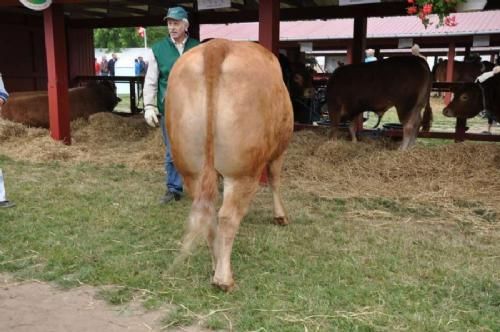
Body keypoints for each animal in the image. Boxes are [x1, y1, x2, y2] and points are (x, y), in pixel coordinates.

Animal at [166, 38, 294, 290]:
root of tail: (216, 46)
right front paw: (280, 216)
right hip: (243, 170)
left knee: (207, 213)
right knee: (227, 216)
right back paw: (224, 278)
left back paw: (216, 265)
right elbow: (275, 180)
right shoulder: (278, 152)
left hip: (191, 168)